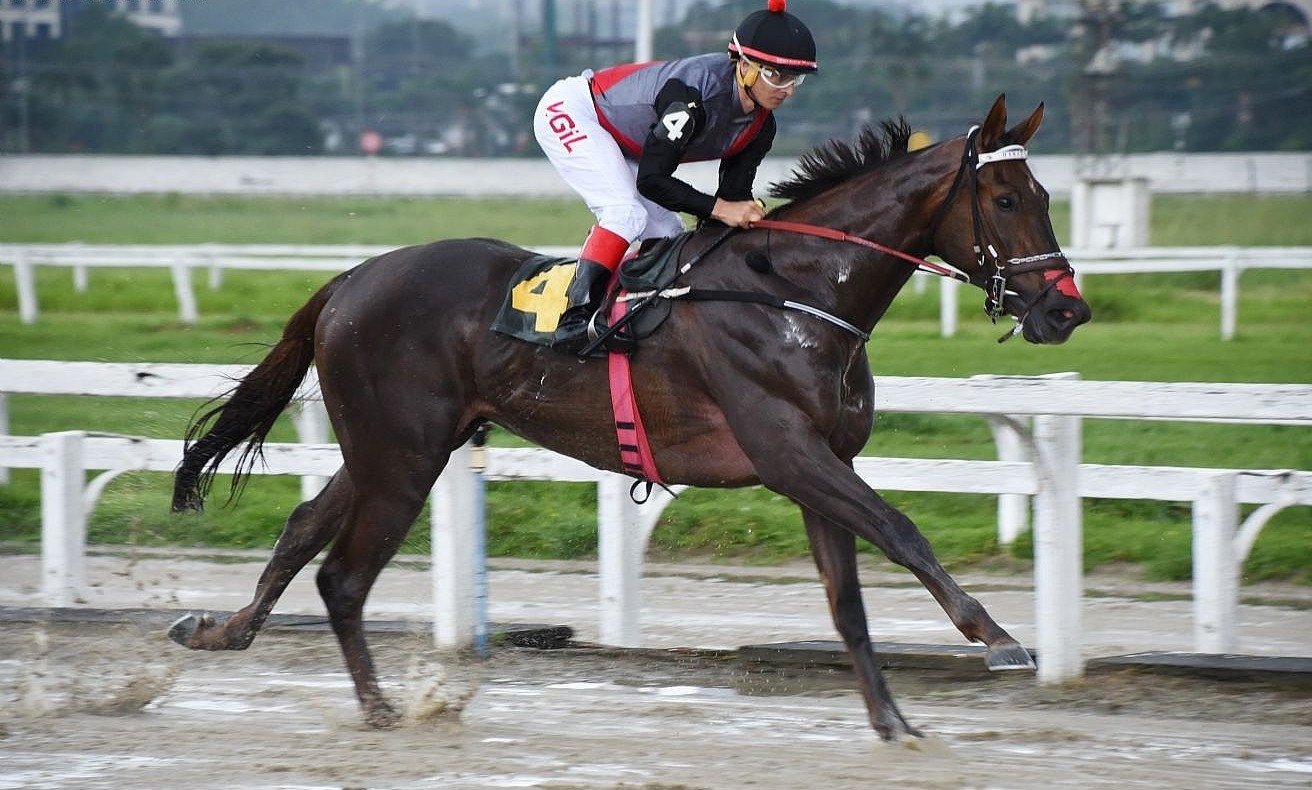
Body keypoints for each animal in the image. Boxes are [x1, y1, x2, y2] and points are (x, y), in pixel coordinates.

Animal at [166, 93, 1086, 740]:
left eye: (1044, 192)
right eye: (1007, 200)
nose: (1066, 310)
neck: (795, 291)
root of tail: (350, 280)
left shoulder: (820, 465)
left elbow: (848, 603)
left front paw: (892, 722)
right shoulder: (789, 452)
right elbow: (902, 530)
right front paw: (997, 637)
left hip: (389, 450)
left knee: (302, 532)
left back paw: (217, 632)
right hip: (401, 457)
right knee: (344, 576)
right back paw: (383, 713)